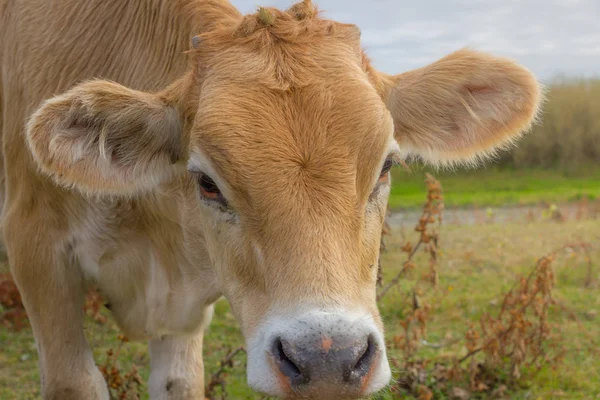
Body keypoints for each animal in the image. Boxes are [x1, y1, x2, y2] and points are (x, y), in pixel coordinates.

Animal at [0, 0, 544, 398]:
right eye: (206, 182)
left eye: (386, 164)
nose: (327, 359)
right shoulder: (35, 246)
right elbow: (75, 380)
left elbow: (180, 382)